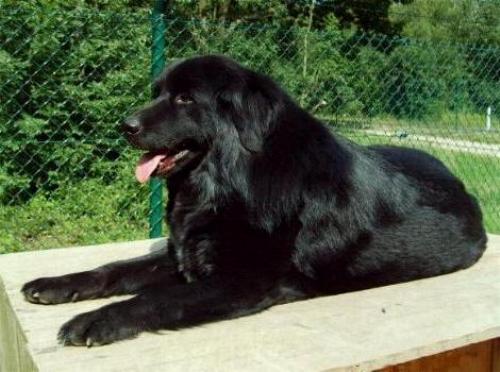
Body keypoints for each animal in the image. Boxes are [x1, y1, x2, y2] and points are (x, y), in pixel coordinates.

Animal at [21, 54, 486, 346]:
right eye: (158, 92)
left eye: (185, 99)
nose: (125, 125)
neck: (227, 181)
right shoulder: (184, 255)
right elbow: (113, 269)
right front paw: (57, 284)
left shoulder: (240, 280)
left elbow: (154, 298)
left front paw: (96, 320)